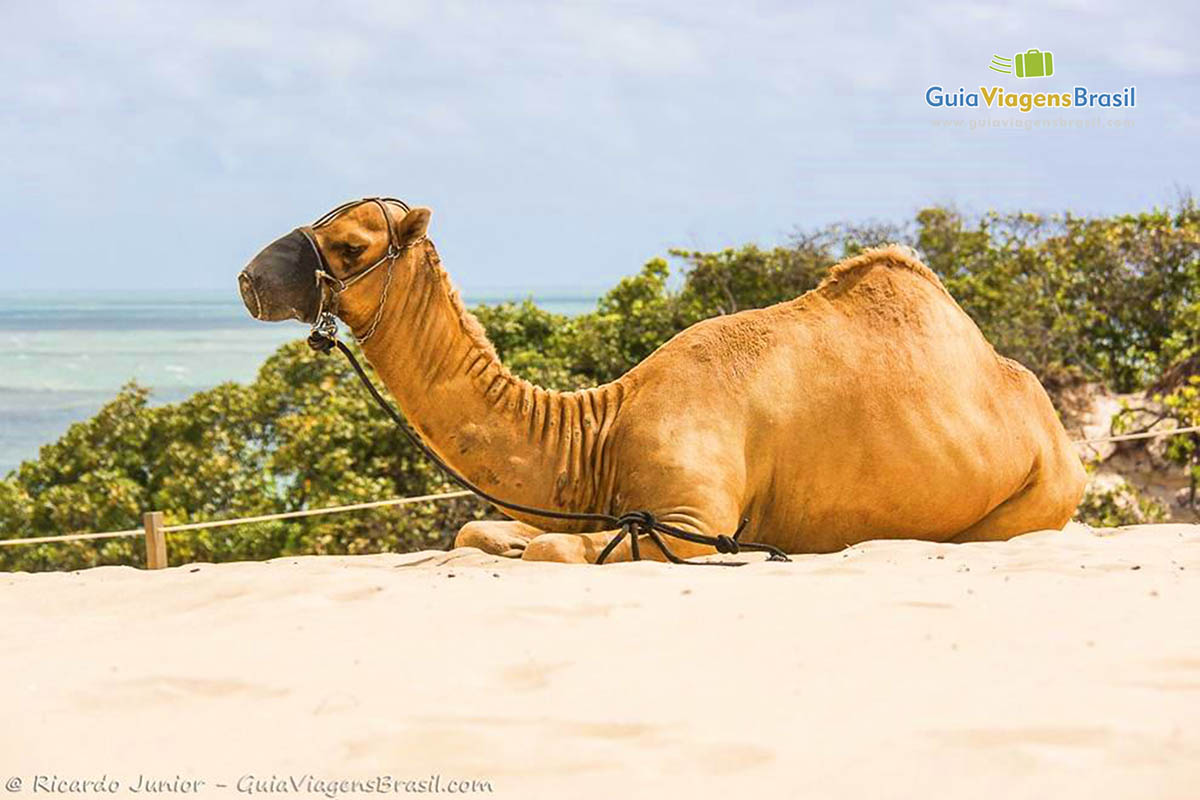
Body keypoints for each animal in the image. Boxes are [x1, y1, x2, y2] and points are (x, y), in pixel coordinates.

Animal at [238, 199, 1094, 563]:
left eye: (350, 245)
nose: (249, 279)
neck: (599, 432)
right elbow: (478, 531)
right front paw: (504, 539)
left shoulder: (694, 520)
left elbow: (562, 554)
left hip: (1039, 498)